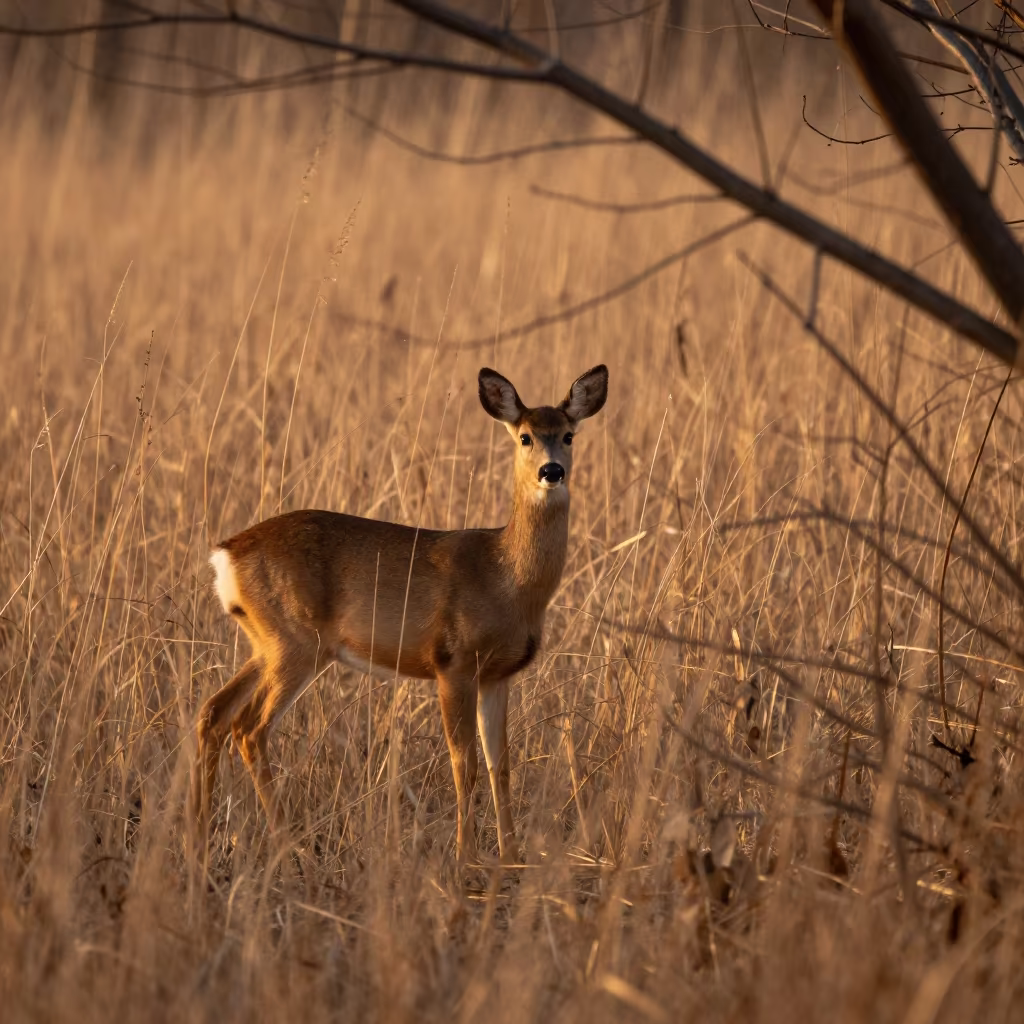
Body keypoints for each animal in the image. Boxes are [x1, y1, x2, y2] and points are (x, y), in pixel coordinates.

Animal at [192, 364, 609, 864]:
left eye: (568, 435)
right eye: (525, 436)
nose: (552, 471)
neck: (505, 576)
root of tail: (226, 555)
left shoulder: (498, 675)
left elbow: (500, 764)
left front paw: (510, 855)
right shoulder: (453, 662)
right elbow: (464, 762)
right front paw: (465, 855)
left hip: (266, 642)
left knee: (213, 712)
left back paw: (198, 839)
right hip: (295, 643)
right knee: (249, 727)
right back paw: (290, 845)